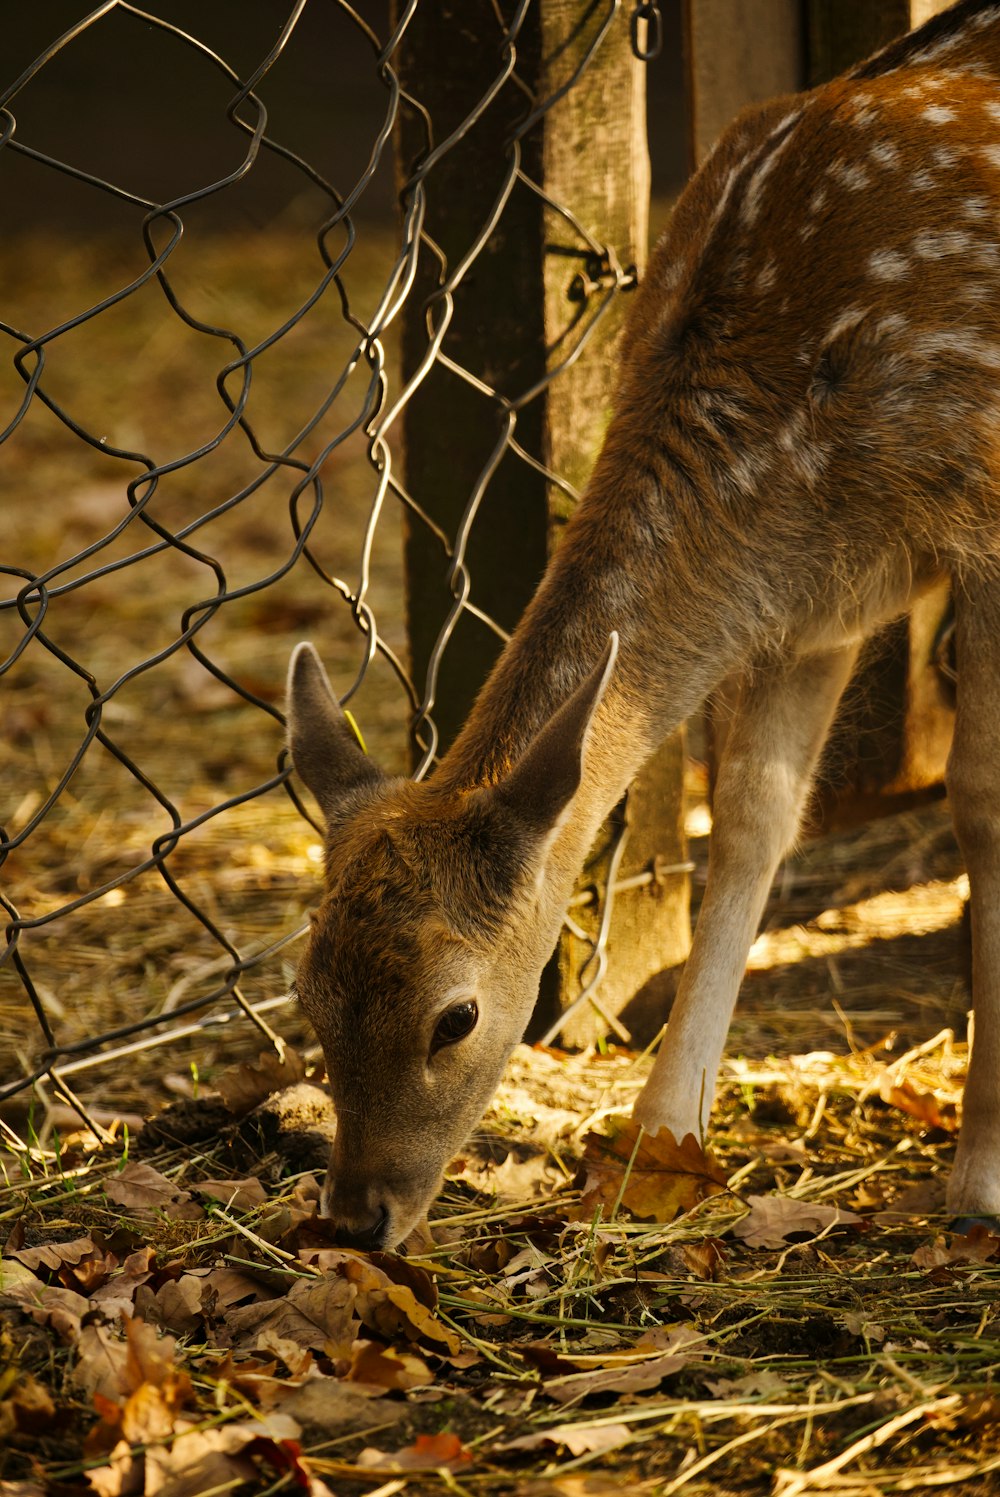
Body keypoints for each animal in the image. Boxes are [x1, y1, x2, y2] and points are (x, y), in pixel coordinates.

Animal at [284, 0, 999, 1245]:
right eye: (309, 996)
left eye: (454, 1016)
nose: (355, 1218)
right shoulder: (817, 599)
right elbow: (755, 818)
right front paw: (659, 1146)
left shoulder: (987, 506)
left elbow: (981, 801)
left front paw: (980, 1180)